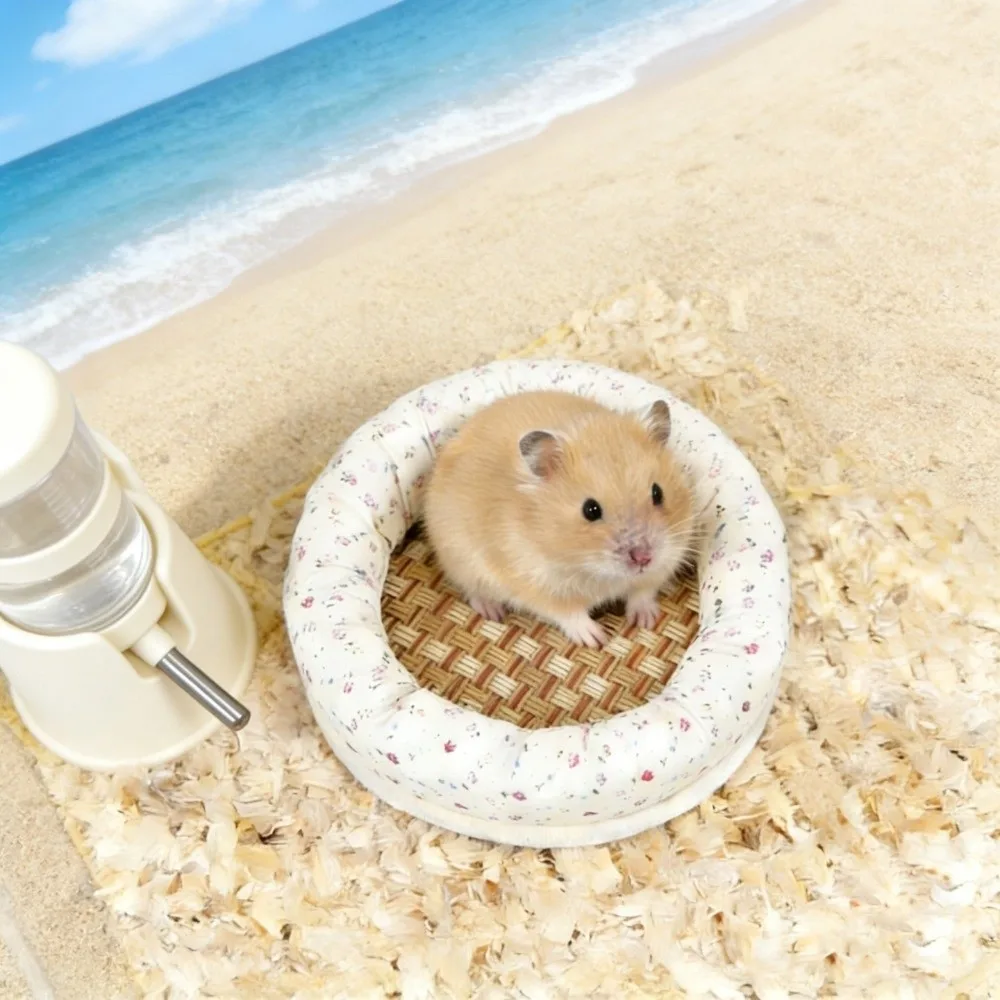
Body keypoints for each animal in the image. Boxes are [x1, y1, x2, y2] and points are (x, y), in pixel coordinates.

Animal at [422, 390, 695, 648]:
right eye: (590, 510)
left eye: (657, 493)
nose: (643, 559)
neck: (594, 568)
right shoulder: (538, 587)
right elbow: (569, 614)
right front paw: (597, 639)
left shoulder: (665, 561)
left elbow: (643, 592)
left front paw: (645, 620)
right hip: (461, 561)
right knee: (473, 590)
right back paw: (493, 612)